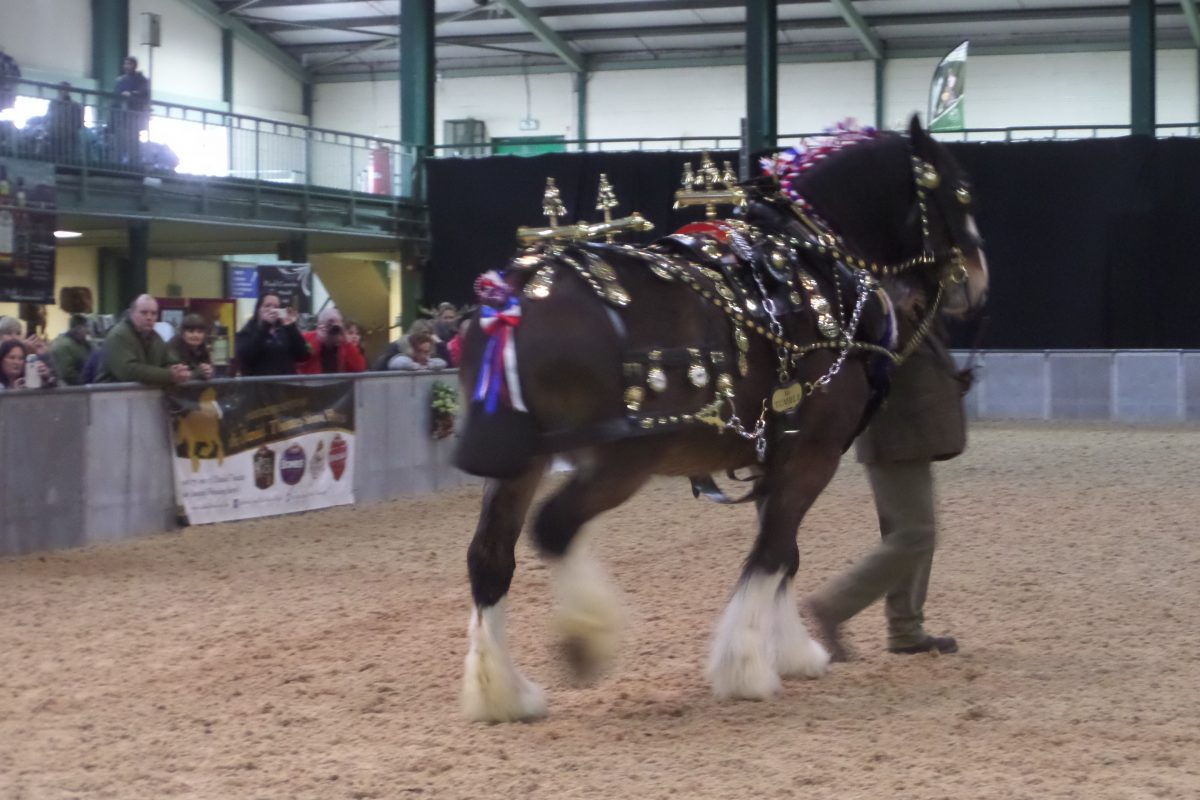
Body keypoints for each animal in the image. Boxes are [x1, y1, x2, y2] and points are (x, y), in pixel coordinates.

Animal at [453, 118, 988, 724]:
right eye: (961, 192)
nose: (977, 280)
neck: (814, 264)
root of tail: (516, 297)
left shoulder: (775, 454)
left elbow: (785, 554)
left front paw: (793, 651)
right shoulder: (814, 454)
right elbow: (772, 552)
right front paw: (747, 668)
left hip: (525, 461)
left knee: (491, 556)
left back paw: (502, 693)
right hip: (624, 459)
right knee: (555, 527)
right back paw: (588, 635)